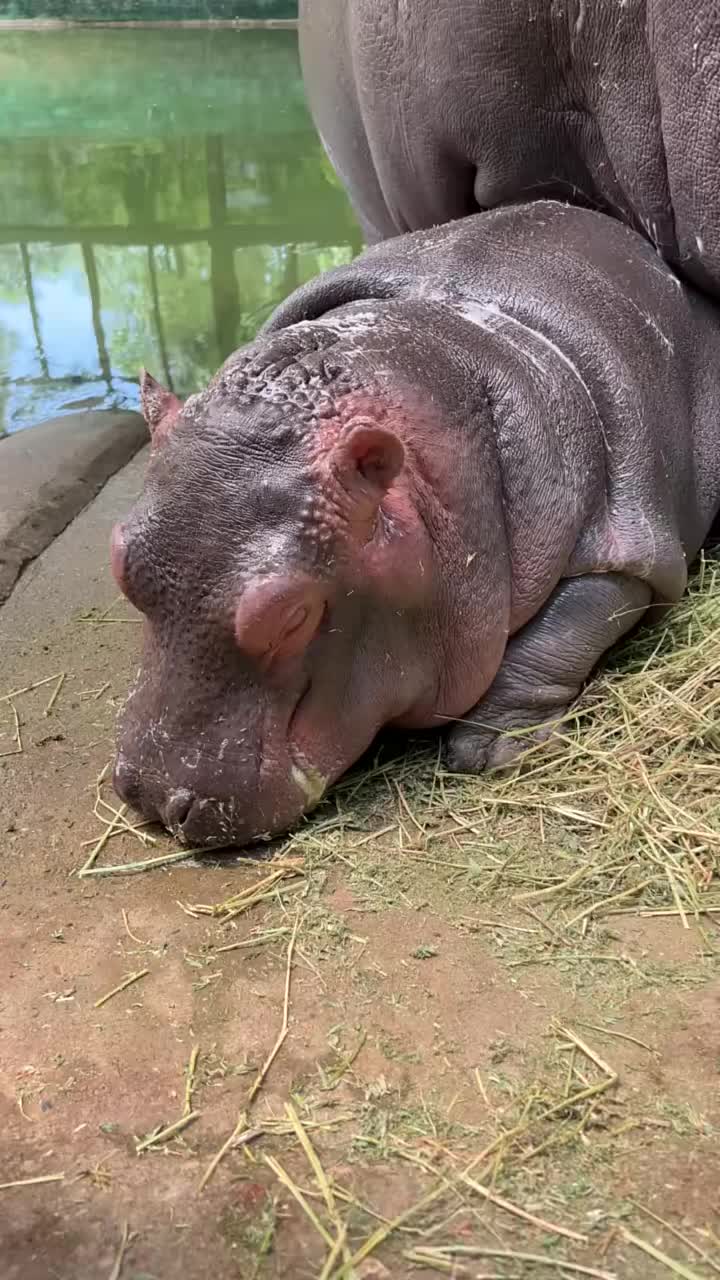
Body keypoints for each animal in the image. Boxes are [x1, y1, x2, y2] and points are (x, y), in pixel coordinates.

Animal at [112, 201, 720, 848]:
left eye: (293, 614)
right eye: (119, 562)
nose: (154, 797)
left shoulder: (627, 551)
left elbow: (562, 631)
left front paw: (489, 748)